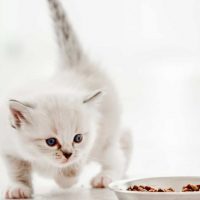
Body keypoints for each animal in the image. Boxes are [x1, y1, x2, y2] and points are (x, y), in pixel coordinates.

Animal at [0, 0, 133, 198]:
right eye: (51, 142)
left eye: (77, 138)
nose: (68, 154)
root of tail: (76, 64)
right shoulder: (9, 148)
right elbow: (17, 170)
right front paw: (19, 187)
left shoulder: (92, 137)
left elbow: (75, 165)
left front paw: (66, 179)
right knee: (125, 136)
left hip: (105, 138)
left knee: (117, 155)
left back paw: (105, 177)